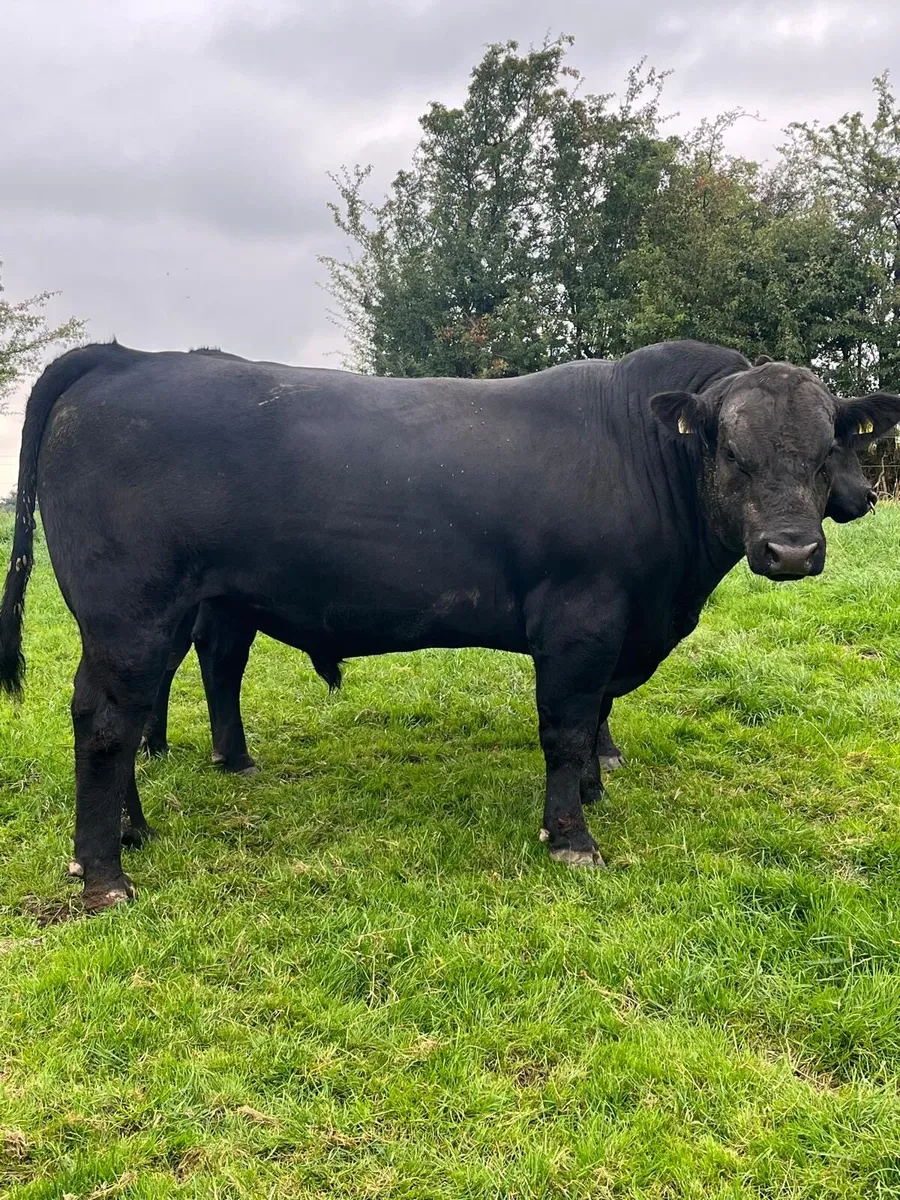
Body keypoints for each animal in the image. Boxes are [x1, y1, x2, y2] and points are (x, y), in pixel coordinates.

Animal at [1, 339, 896, 911]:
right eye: (733, 452)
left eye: (827, 449)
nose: (791, 550)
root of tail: (125, 357)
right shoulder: (580, 619)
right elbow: (565, 727)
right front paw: (571, 836)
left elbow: (593, 721)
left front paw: (595, 789)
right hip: (131, 610)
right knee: (107, 723)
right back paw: (105, 876)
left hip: (152, 618)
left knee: (128, 710)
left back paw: (129, 832)